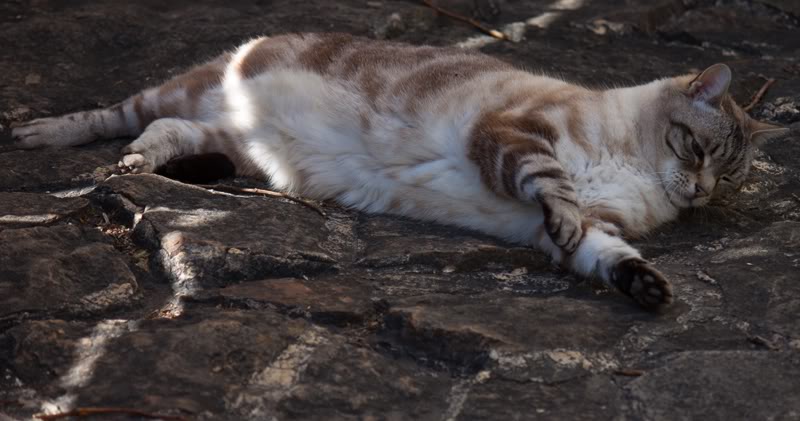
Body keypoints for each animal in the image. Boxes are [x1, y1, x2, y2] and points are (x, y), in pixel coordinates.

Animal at [12, 32, 788, 308]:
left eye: (728, 178)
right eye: (698, 151)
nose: (700, 193)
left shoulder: (572, 229)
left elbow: (605, 254)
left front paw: (646, 284)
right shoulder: (512, 134)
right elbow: (553, 186)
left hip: (228, 140)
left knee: (168, 137)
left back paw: (146, 160)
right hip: (177, 92)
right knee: (121, 115)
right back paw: (44, 133)